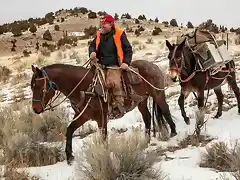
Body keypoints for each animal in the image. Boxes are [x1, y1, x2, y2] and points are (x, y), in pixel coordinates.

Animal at [30, 59, 176, 165]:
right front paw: (69, 156)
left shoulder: (101, 118)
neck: (84, 88)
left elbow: (103, 138)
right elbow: (70, 130)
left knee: (166, 110)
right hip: (142, 102)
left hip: (158, 94)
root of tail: (153, 65)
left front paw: (104, 156)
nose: (35, 109)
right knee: (147, 117)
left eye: (38, 86)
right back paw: (146, 141)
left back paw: (173, 133)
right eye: (31, 86)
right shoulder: (83, 115)